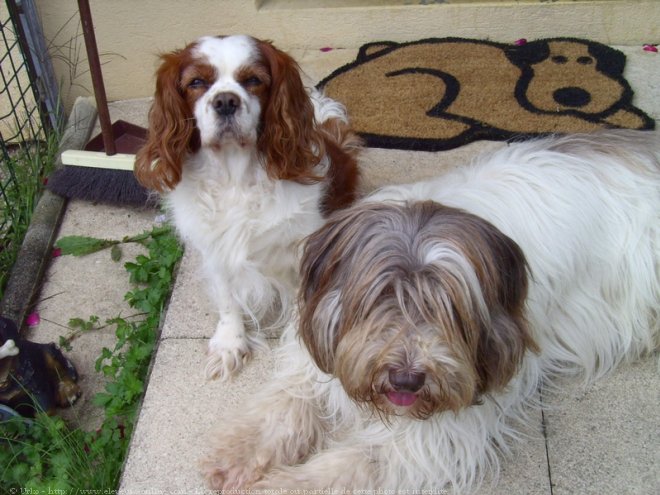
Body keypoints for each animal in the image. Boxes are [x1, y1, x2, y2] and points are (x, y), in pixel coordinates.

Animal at [135, 36, 360, 382]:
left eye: (253, 80)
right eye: (196, 83)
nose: (226, 101)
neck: (236, 177)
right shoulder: (215, 249)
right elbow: (228, 299)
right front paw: (230, 343)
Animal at [204, 131, 656, 492]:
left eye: (449, 309)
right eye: (380, 298)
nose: (407, 378)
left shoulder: (448, 421)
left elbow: (363, 459)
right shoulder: (313, 356)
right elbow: (284, 404)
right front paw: (237, 454)